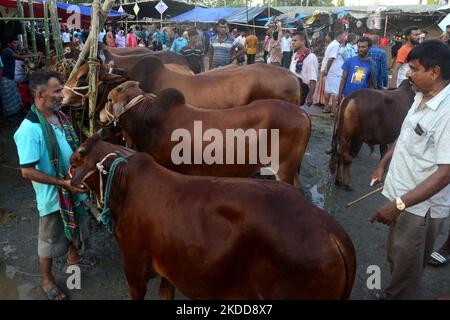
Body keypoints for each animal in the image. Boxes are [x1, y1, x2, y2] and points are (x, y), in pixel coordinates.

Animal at [70, 134, 356, 298]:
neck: (125, 184)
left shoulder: (134, 268)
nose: (68, 179)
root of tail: (332, 233)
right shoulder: (169, 272)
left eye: (74, 161)